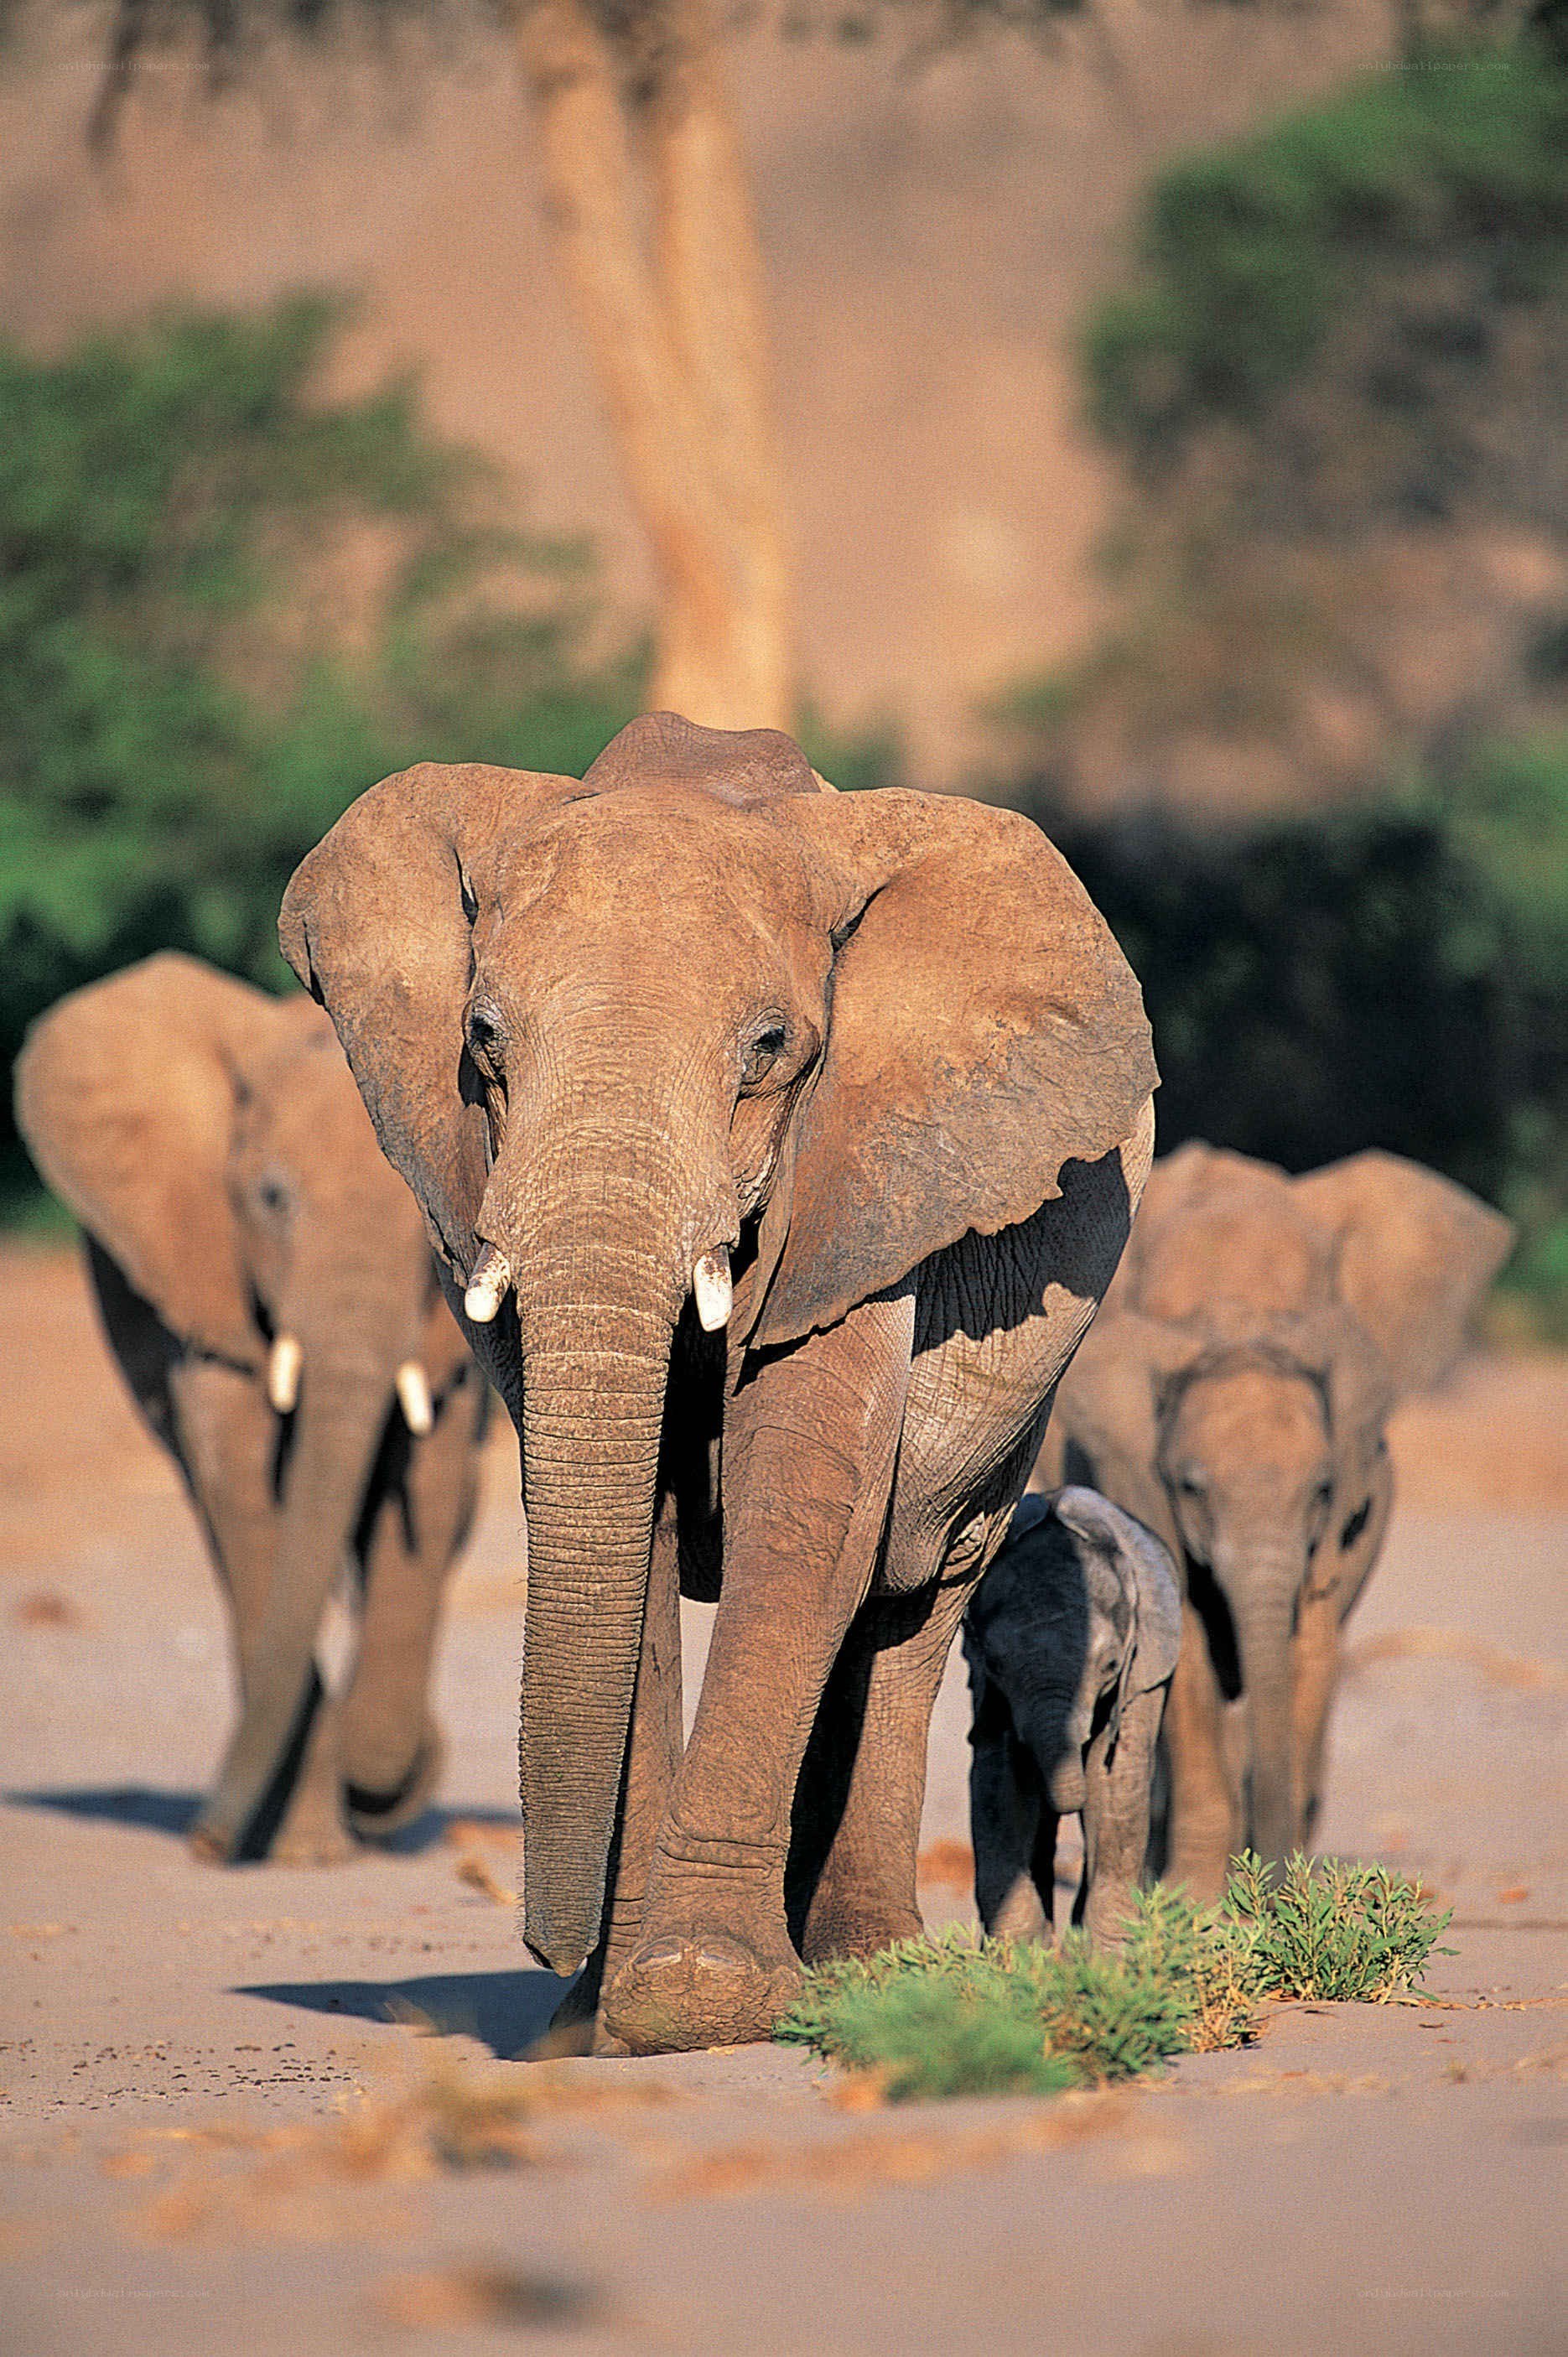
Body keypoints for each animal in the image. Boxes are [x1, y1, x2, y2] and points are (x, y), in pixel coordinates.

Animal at [14, 952, 489, 1864]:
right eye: (271, 1199)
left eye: (426, 1233)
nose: (204, 1839)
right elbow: (241, 1482)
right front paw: (307, 1849)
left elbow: (429, 1481)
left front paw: (378, 1787)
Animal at [279, 711, 1157, 2053]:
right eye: (481, 1038)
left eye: (770, 1050)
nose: (549, 1946)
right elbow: (615, 1529)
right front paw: (608, 2023)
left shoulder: (863, 1174)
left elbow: (805, 1512)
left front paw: (698, 1992)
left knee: (912, 1601)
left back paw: (864, 1970)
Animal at [963, 1486, 1182, 1950]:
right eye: (995, 1664)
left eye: (1111, 1665)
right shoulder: (988, 1691)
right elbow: (998, 1784)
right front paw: (1021, 1956)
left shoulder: (1143, 1675)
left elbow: (1116, 1782)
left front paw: (1108, 1957)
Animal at [1038, 1139, 1513, 1899]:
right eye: (1191, 1487)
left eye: (1320, 1489)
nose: (1272, 1885)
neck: (1237, 1309)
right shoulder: (1131, 1469)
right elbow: (1187, 1640)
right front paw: (1194, 1899)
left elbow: (1311, 1635)